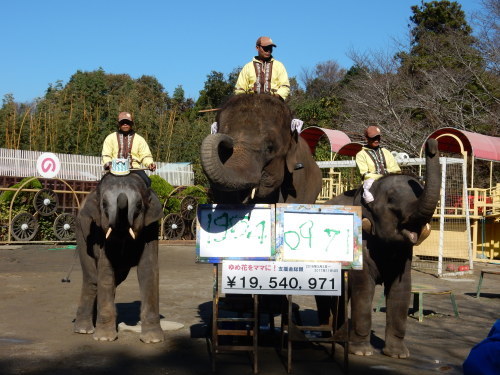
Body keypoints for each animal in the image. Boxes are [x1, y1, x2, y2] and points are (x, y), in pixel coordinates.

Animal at [73, 173, 163, 344]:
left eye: (139, 205)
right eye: (104, 204)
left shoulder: (152, 228)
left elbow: (148, 270)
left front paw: (153, 340)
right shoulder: (98, 232)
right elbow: (106, 271)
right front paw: (104, 339)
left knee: (116, 279)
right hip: (81, 232)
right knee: (92, 280)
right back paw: (83, 329)